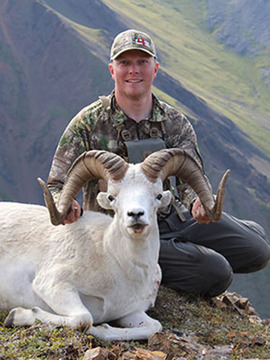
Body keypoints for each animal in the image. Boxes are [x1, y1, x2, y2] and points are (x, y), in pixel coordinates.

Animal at [0, 148, 229, 340]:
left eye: (157, 195)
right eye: (112, 197)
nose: (135, 214)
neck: (118, 266)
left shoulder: (131, 313)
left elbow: (154, 327)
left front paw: (102, 329)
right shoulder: (52, 285)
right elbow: (84, 319)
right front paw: (17, 316)